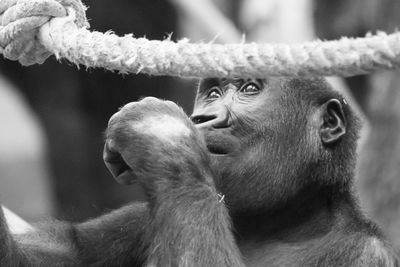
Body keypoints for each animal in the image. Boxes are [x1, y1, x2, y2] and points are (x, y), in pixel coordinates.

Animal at [0, 77, 400, 267]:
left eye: (249, 88)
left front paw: (160, 132)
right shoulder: (134, 222)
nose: (203, 117)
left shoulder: (365, 256)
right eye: (212, 93)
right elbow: (37, 257)